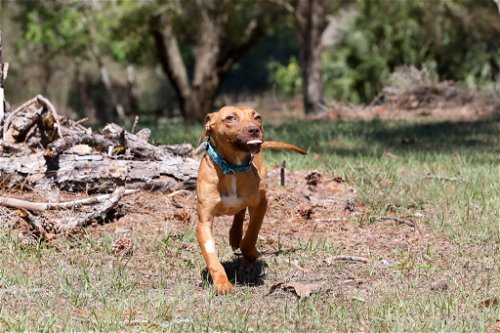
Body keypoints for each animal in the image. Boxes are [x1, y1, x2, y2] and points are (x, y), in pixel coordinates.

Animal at [196, 104, 306, 294]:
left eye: (257, 117)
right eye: (230, 118)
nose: (254, 130)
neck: (232, 168)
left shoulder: (262, 202)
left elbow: (250, 236)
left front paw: (252, 254)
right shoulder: (204, 221)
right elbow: (211, 257)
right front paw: (222, 283)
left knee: (241, 214)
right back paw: (234, 237)